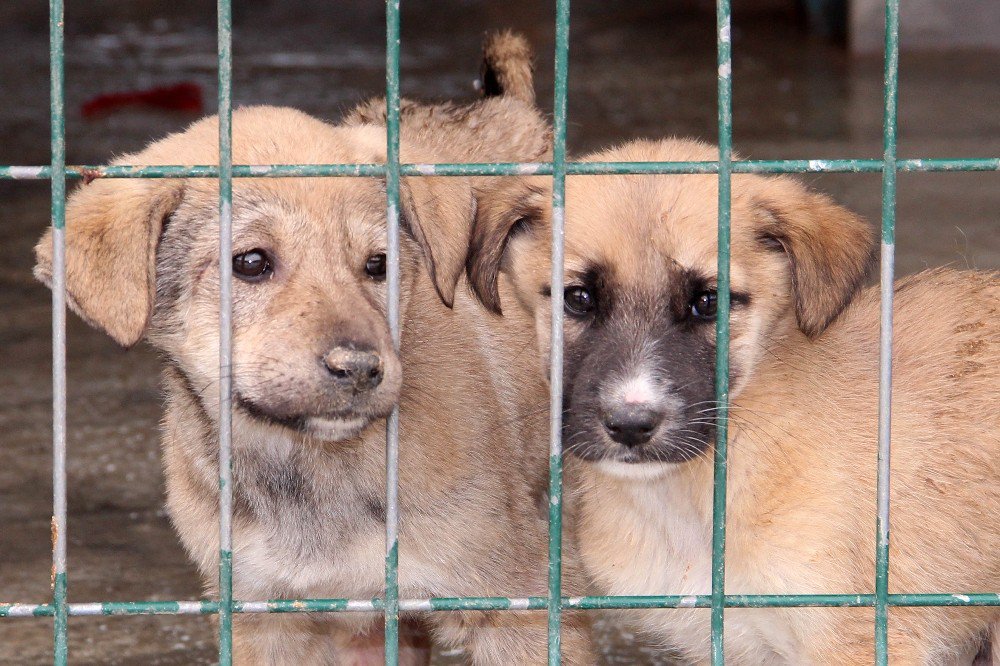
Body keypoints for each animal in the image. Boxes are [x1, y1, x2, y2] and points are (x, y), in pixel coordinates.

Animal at [31, 35, 592, 664]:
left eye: (379, 265)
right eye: (251, 262)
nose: (362, 369)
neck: (307, 466)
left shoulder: (519, 607)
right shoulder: (268, 619)